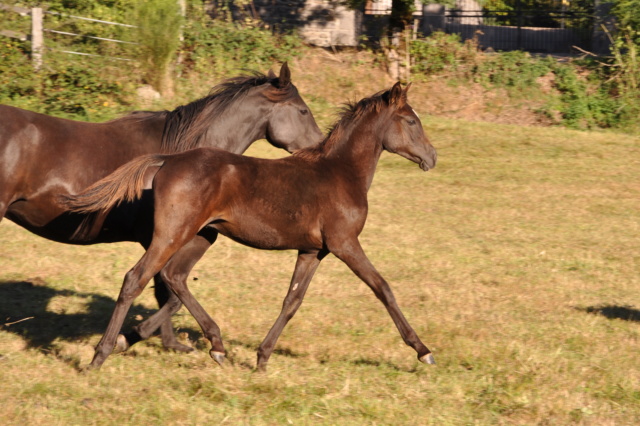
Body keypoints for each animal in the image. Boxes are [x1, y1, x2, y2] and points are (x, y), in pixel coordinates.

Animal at [0, 61, 320, 352]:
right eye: (303, 110)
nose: (318, 148)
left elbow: (163, 291)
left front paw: (165, 342)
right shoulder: (163, 239)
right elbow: (167, 292)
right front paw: (158, 341)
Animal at [63, 81, 436, 372]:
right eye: (410, 120)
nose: (432, 157)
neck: (341, 172)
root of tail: (169, 159)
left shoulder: (313, 250)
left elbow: (292, 300)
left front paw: (262, 357)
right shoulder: (345, 244)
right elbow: (383, 288)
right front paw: (423, 351)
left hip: (199, 235)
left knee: (173, 278)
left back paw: (211, 345)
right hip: (172, 234)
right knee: (136, 279)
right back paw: (101, 355)